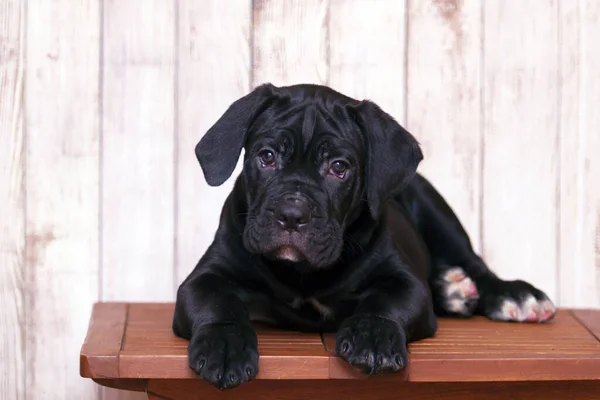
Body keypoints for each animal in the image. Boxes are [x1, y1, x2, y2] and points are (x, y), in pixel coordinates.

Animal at [173, 82, 556, 390]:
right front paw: (225, 346)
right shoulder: (203, 279)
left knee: (474, 263)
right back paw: (454, 292)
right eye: (266, 157)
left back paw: (511, 295)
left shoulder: (405, 283)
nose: (292, 215)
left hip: (434, 209)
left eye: (339, 168)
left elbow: (385, 304)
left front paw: (373, 337)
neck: (303, 274)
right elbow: (217, 304)